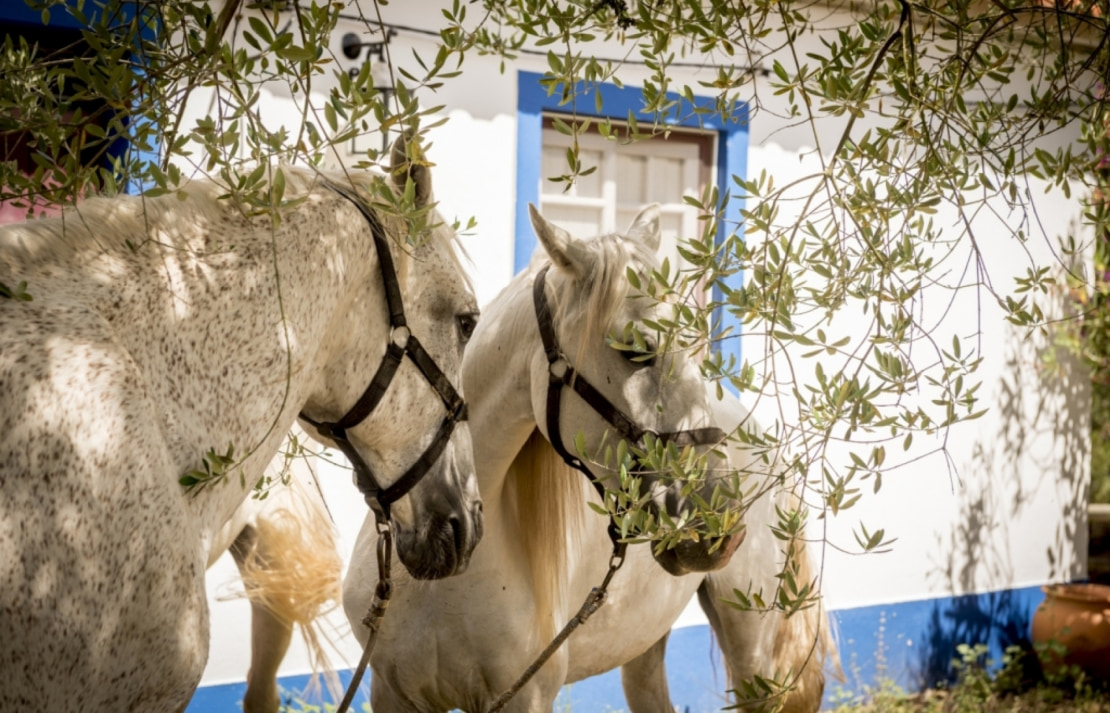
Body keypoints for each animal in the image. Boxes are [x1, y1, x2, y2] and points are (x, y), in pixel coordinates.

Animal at [339, 202, 781, 706]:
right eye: (636, 351)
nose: (721, 523)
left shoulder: (525, 696)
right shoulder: (391, 693)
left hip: (750, 645)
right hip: (643, 646)